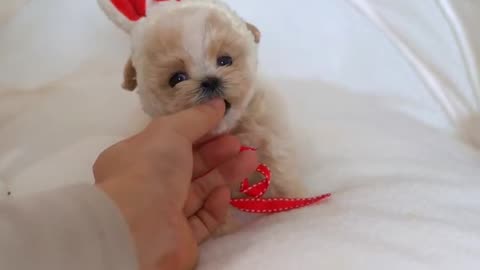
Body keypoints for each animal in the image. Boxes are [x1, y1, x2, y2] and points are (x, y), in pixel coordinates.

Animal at [116, 0, 304, 234]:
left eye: (225, 60)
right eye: (177, 79)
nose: (210, 81)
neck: (227, 130)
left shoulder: (267, 131)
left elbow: (279, 167)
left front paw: (293, 201)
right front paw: (227, 232)